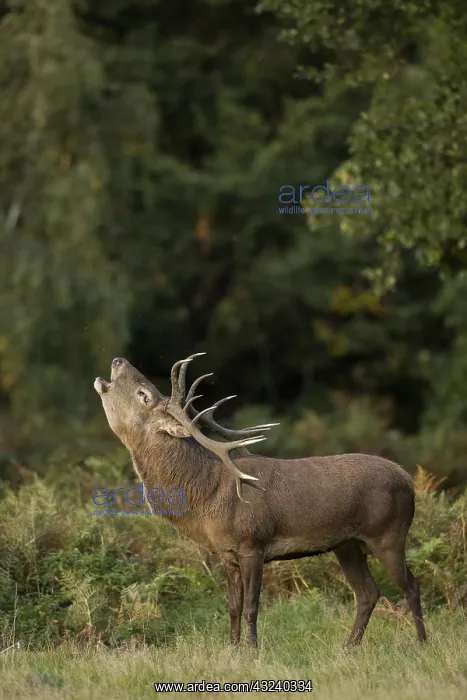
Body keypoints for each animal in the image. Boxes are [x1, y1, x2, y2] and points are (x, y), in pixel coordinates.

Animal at [94, 353, 426, 648]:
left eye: (144, 395)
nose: (118, 360)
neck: (206, 497)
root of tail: (408, 480)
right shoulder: (226, 553)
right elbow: (232, 607)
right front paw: (232, 649)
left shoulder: (252, 543)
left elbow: (253, 605)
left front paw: (253, 650)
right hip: (347, 545)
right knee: (368, 593)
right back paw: (349, 646)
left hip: (388, 533)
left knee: (411, 585)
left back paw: (422, 643)